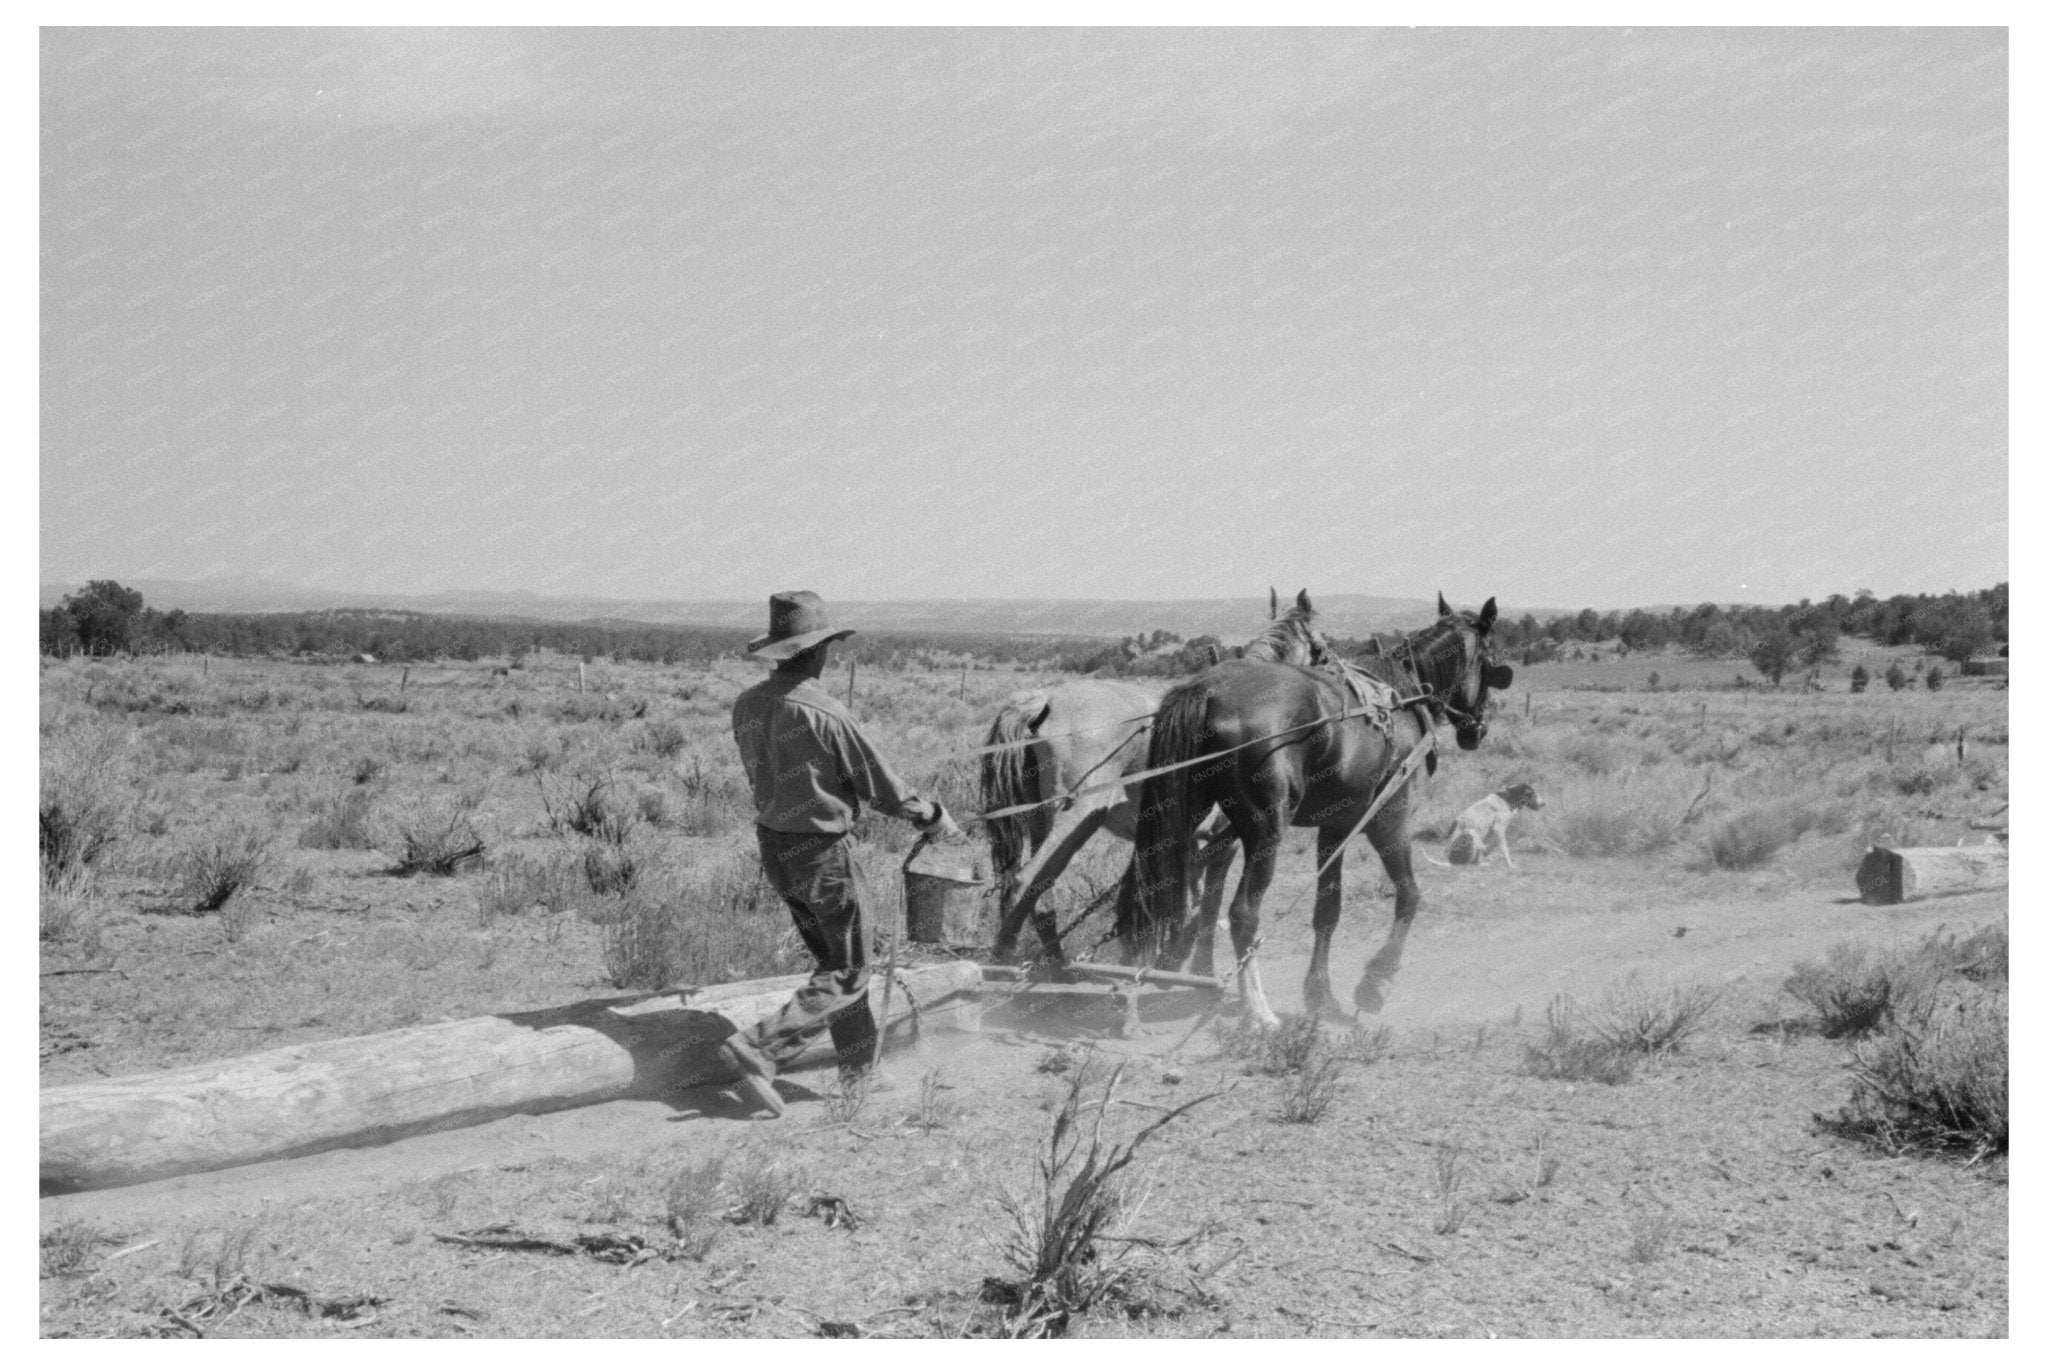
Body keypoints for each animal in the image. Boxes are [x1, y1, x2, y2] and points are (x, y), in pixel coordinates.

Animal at [978, 589, 1335, 961]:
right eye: (1321, 650)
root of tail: (1044, 700)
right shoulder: (1222, 847)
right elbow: (1204, 912)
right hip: (1078, 817)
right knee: (1025, 883)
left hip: (1040, 823)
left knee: (1039, 895)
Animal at [1114, 593, 1515, 1023]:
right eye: (1490, 661)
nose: (1477, 729)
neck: (1406, 697)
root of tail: (1208, 691)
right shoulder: (1389, 822)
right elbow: (1409, 896)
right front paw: (1375, 984)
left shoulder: (1336, 827)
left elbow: (1327, 910)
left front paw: (1321, 994)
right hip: (1267, 832)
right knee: (1242, 914)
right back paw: (1258, 1010)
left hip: (1177, 817)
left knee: (1149, 890)